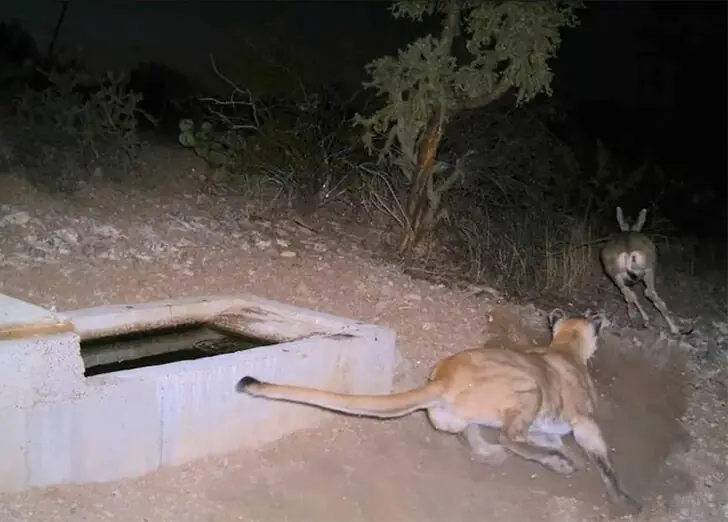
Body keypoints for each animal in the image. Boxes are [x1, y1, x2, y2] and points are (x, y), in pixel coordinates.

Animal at [236, 309, 641, 512]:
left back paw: (494, 453)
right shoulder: (584, 421)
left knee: (481, 436)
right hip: (528, 388)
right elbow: (604, 458)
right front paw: (624, 499)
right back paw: (551, 461)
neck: (565, 347)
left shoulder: (552, 424)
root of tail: (445, 376)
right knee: (510, 437)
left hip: (454, 418)